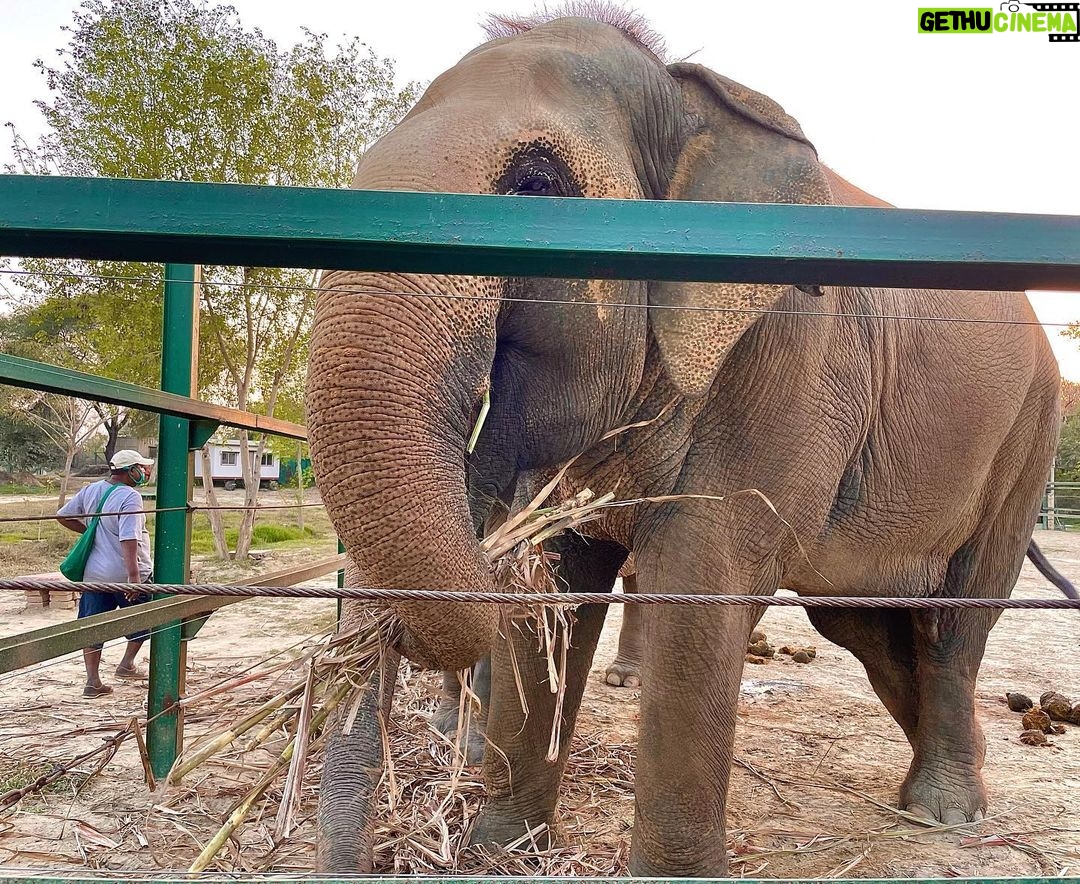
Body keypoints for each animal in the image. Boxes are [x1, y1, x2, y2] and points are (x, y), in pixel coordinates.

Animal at [305, 11, 1074, 876]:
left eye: (536, 184)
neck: (686, 97)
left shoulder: (787, 358)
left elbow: (702, 574)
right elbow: (556, 581)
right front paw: (500, 851)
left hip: (1027, 442)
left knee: (957, 615)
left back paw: (945, 813)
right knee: (866, 625)